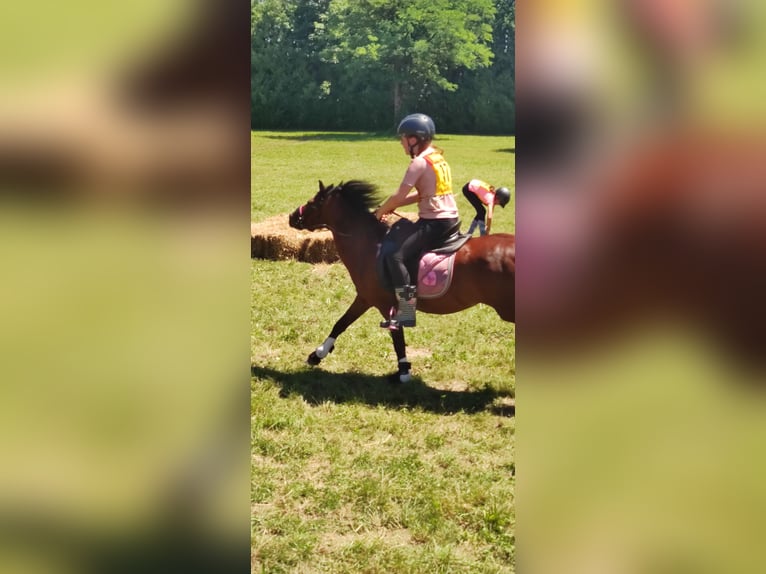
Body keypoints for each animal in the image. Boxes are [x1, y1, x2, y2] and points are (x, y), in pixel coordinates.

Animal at [288, 180, 515, 382]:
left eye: (312, 202)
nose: (292, 217)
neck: (370, 245)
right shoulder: (365, 298)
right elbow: (341, 323)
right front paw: (318, 354)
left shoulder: (384, 304)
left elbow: (397, 337)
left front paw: (403, 371)